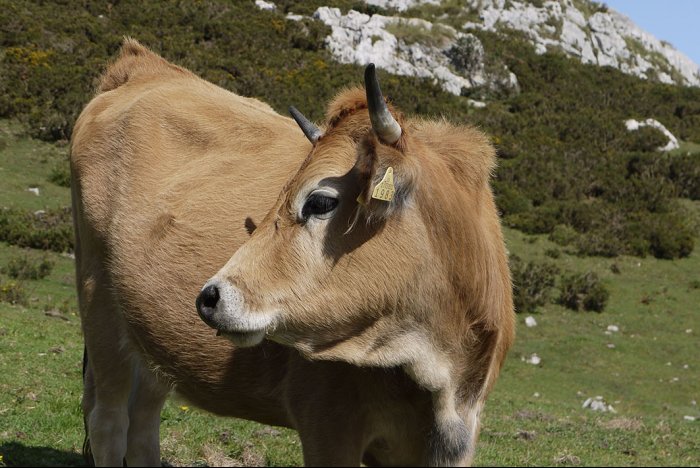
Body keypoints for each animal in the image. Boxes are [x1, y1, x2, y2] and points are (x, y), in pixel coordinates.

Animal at [71, 38, 516, 466]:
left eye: (320, 201)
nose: (210, 297)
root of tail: (143, 65)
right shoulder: (328, 423)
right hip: (99, 306)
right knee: (109, 422)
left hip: (149, 340)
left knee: (143, 424)